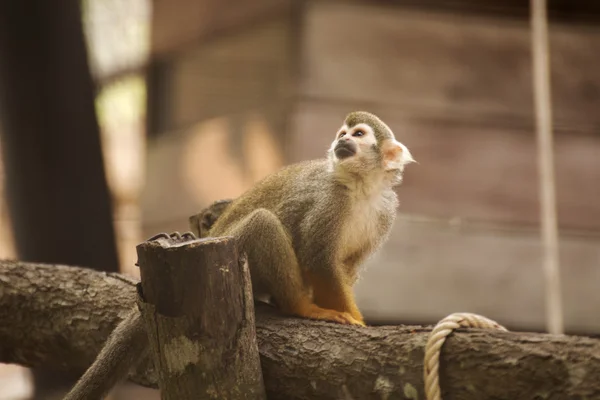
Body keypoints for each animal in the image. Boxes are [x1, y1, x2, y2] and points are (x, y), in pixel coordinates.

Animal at [64, 111, 412, 398]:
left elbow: (345, 266)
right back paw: (300, 307)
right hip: (237, 246)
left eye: (358, 134)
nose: (341, 140)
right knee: (262, 222)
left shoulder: (387, 212)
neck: (360, 186)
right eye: (343, 133)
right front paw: (354, 321)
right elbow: (319, 260)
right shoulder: (329, 201)